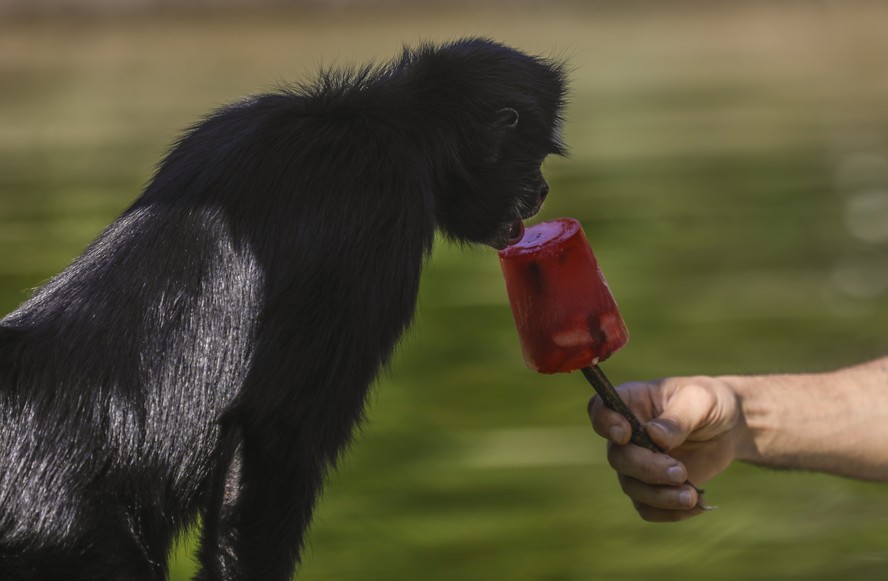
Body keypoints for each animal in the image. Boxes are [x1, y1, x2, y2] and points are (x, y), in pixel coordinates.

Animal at [0, 38, 568, 576]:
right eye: (536, 157)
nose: (542, 189)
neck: (378, 120)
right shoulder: (383, 208)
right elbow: (275, 430)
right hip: (69, 532)